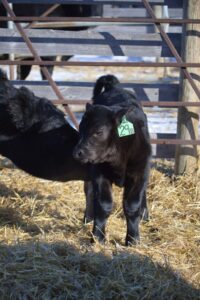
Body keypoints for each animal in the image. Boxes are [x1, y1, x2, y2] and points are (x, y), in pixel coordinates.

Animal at [73, 75, 152, 246]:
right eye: (81, 128)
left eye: (99, 131)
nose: (77, 153)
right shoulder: (99, 173)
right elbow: (103, 205)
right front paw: (97, 237)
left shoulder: (139, 172)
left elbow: (132, 205)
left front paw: (133, 239)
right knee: (89, 190)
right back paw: (88, 218)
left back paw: (145, 215)